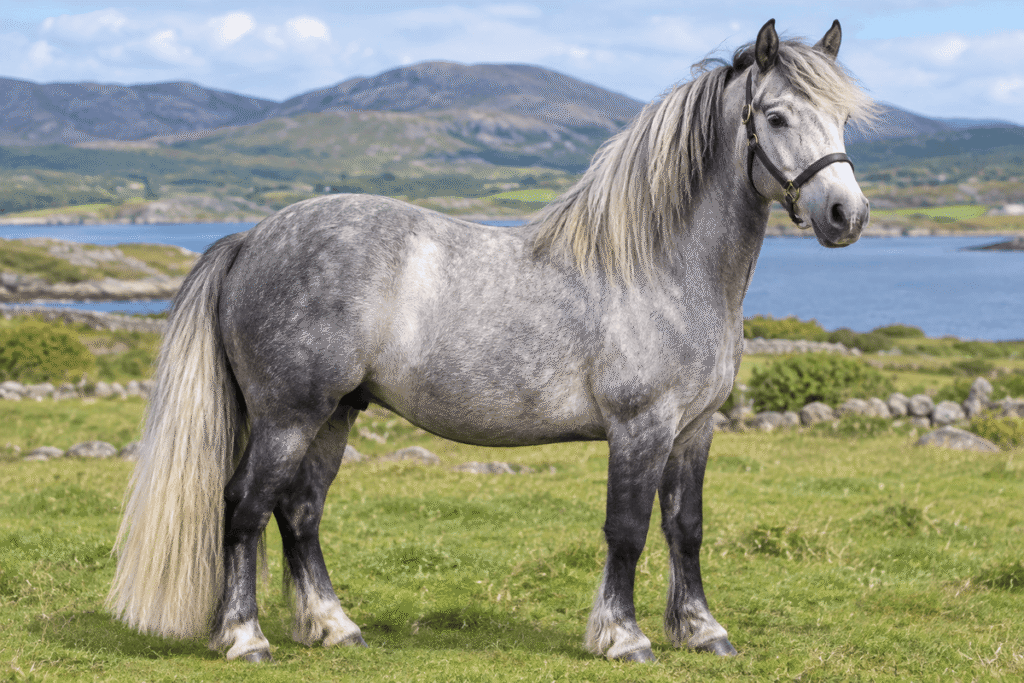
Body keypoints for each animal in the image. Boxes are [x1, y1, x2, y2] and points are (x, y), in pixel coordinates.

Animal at [108, 19, 875, 663]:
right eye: (775, 116)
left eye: (841, 118)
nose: (847, 214)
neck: (658, 267)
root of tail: (251, 238)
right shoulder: (641, 427)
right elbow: (626, 529)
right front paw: (623, 637)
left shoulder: (694, 428)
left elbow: (685, 527)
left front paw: (703, 630)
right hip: (288, 415)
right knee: (243, 507)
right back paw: (245, 638)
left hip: (335, 414)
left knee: (299, 513)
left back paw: (334, 626)